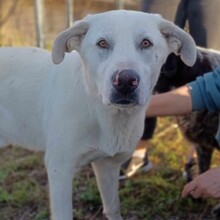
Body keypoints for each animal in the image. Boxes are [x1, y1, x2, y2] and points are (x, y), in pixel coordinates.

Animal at [0, 9, 196, 220]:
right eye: (102, 43)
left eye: (146, 43)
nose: (125, 81)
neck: (103, 113)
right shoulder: (60, 169)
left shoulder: (108, 165)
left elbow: (113, 208)